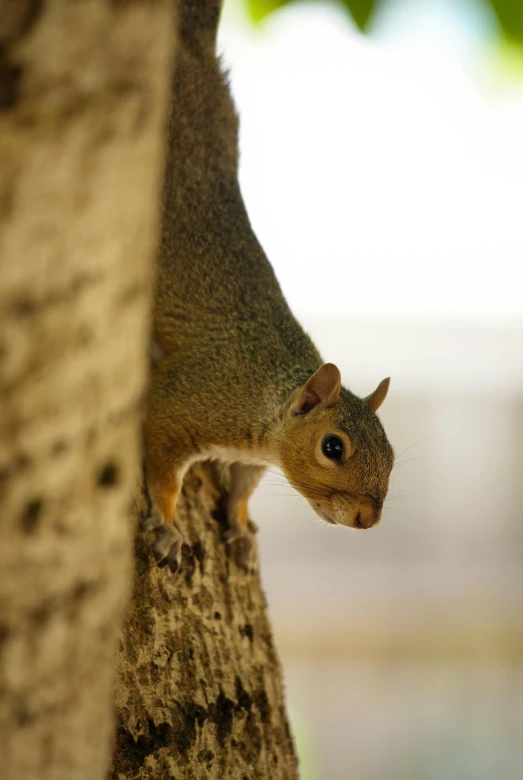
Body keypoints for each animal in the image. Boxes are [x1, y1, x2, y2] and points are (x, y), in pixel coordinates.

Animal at [143, 0, 392, 572]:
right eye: (333, 448)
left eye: (391, 453)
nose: (369, 521)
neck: (270, 403)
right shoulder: (182, 402)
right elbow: (163, 469)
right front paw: (168, 526)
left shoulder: (247, 457)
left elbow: (241, 489)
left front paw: (239, 528)